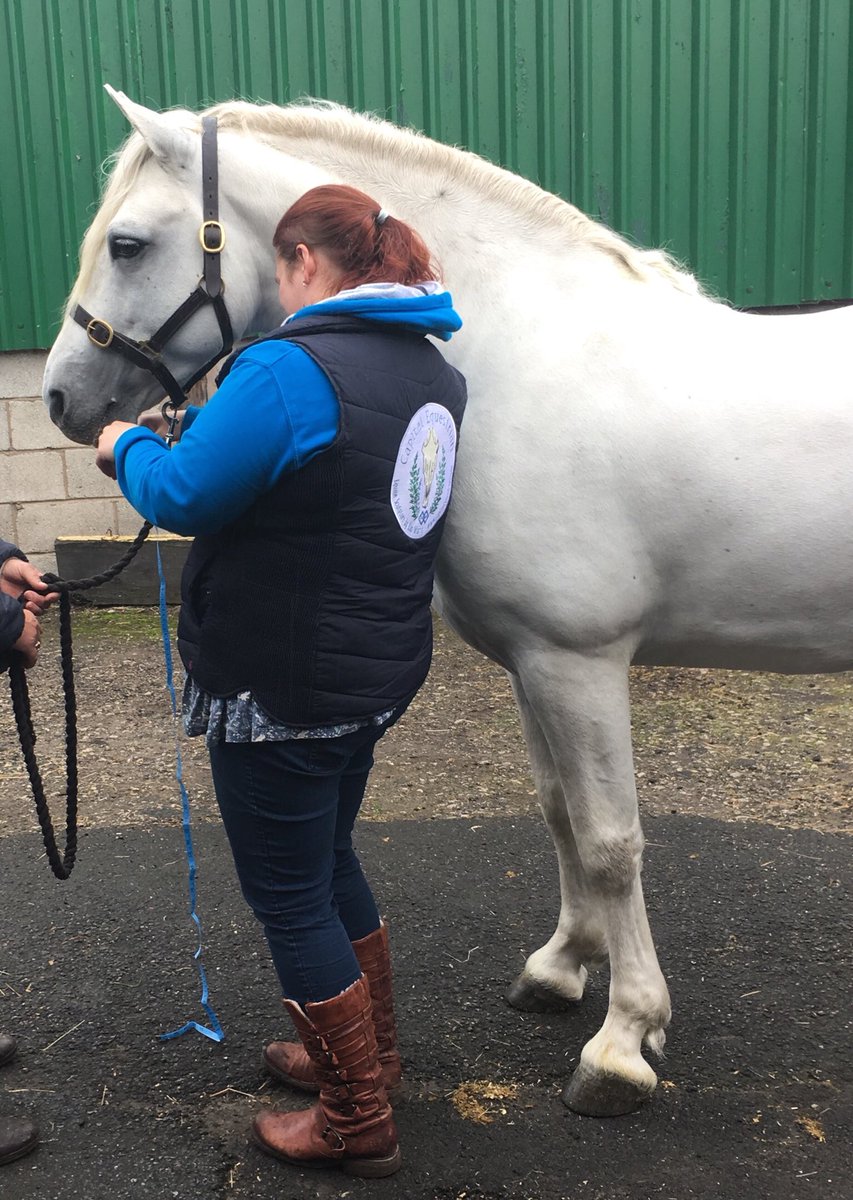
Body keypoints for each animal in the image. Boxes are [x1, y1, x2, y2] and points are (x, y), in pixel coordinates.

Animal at [42, 87, 853, 1119]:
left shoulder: (579, 662)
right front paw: (560, 968)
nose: (61, 398)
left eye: (129, 244)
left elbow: (608, 841)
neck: (522, 365)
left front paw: (622, 1042)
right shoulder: (532, 665)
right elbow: (557, 813)